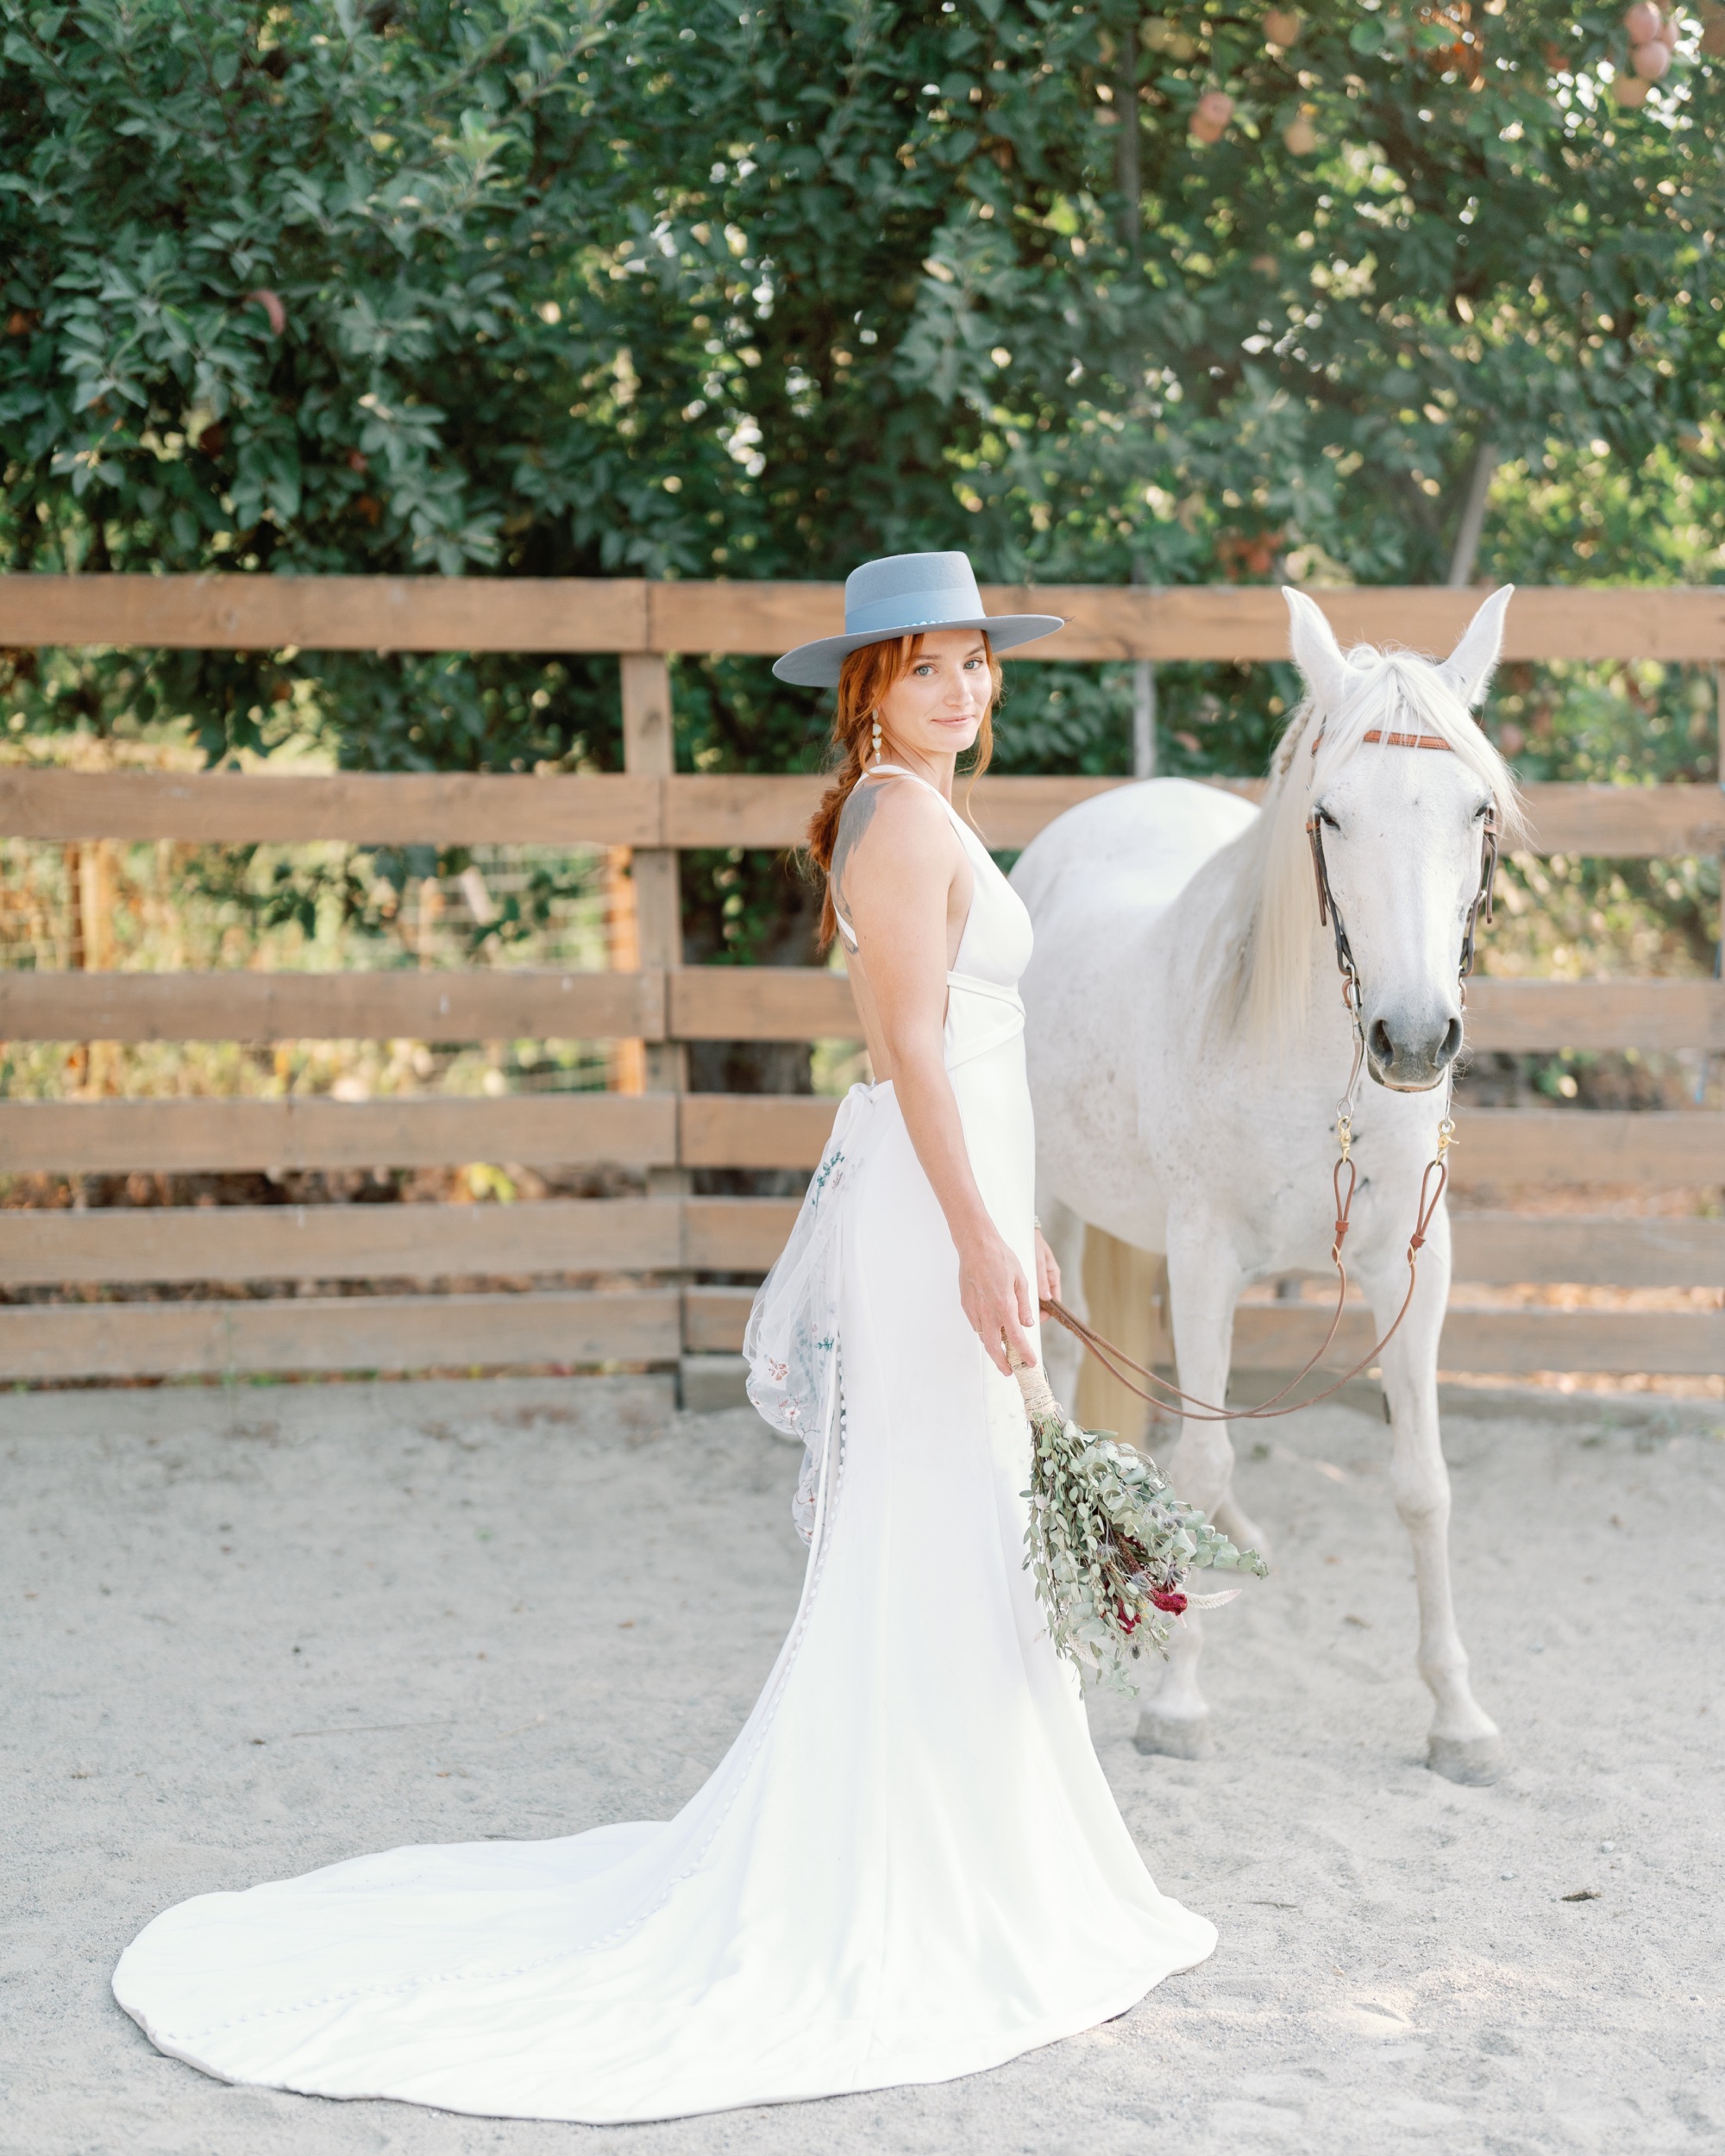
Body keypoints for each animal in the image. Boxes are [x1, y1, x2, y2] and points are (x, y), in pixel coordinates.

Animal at [1018, 591, 1518, 1785]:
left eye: (1476, 809)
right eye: (1329, 814)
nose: (1413, 1038)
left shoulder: (1410, 1271)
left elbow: (1421, 1483)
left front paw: (1457, 1719)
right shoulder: (1206, 1260)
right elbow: (1202, 1453)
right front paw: (1179, 1703)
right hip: (1046, 1193)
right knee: (1060, 1354)